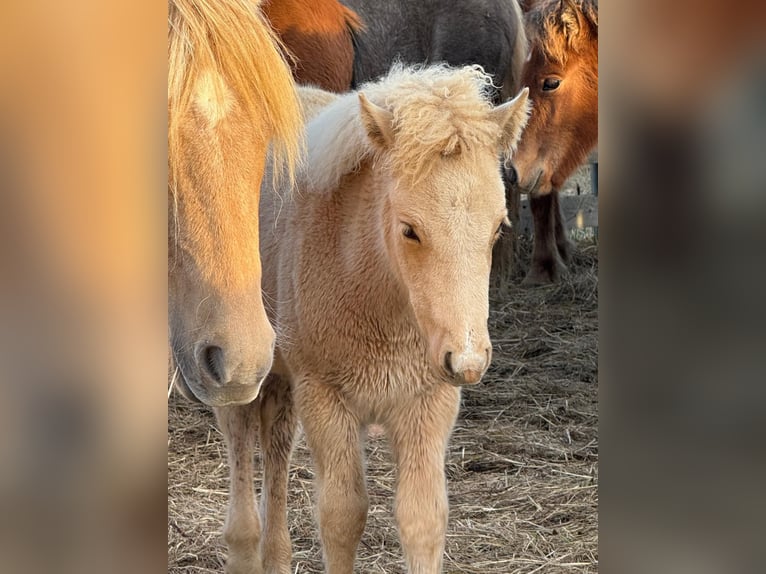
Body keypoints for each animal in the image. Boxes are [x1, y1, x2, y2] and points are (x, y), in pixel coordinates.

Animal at [218, 65, 530, 573]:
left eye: (498, 228)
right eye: (410, 230)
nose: (468, 362)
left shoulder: (429, 400)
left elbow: (423, 518)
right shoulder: (324, 397)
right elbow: (342, 514)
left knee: (276, 443)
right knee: (241, 437)